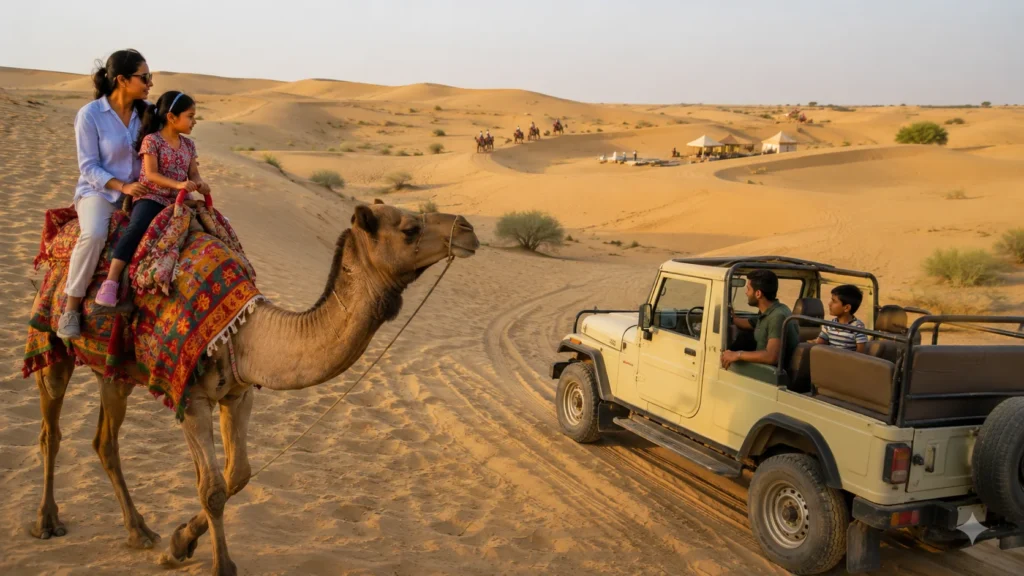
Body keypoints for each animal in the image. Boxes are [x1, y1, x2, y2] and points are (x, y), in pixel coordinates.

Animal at [28, 200, 479, 575]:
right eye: (409, 228)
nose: (468, 228)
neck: (245, 331)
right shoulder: (192, 399)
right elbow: (211, 488)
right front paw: (218, 565)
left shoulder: (237, 393)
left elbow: (237, 476)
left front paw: (178, 543)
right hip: (52, 339)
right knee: (51, 429)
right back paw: (46, 521)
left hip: (113, 372)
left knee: (105, 440)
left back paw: (139, 531)